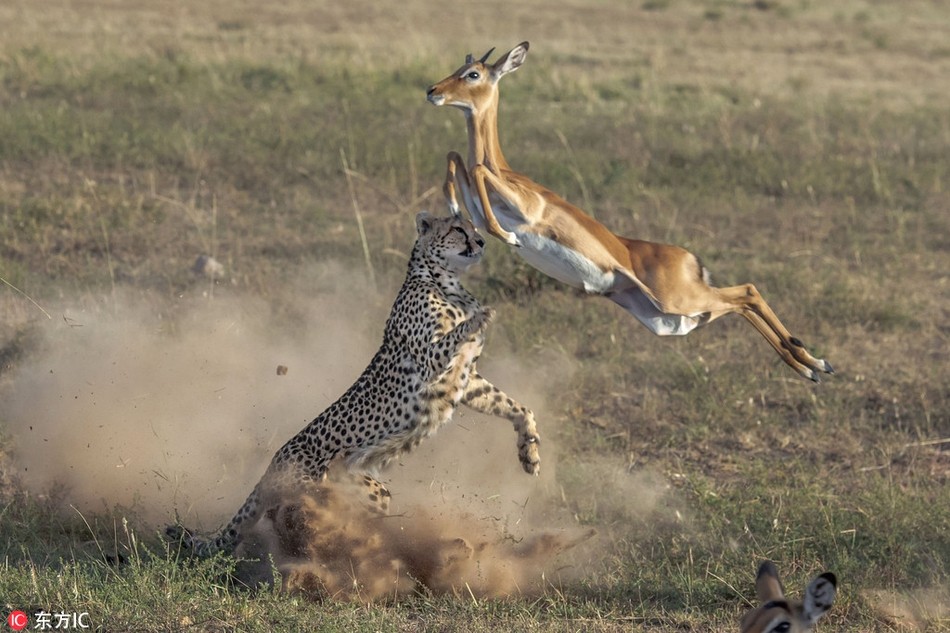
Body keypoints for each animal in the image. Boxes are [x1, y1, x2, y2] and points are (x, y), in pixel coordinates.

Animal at [169, 211, 544, 552]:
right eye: (457, 229)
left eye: (475, 227)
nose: (480, 242)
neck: (446, 282)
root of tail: (272, 464)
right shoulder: (429, 360)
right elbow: (459, 332)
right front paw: (481, 316)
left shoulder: (467, 380)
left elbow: (513, 406)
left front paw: (529, 452)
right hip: (343, 487)